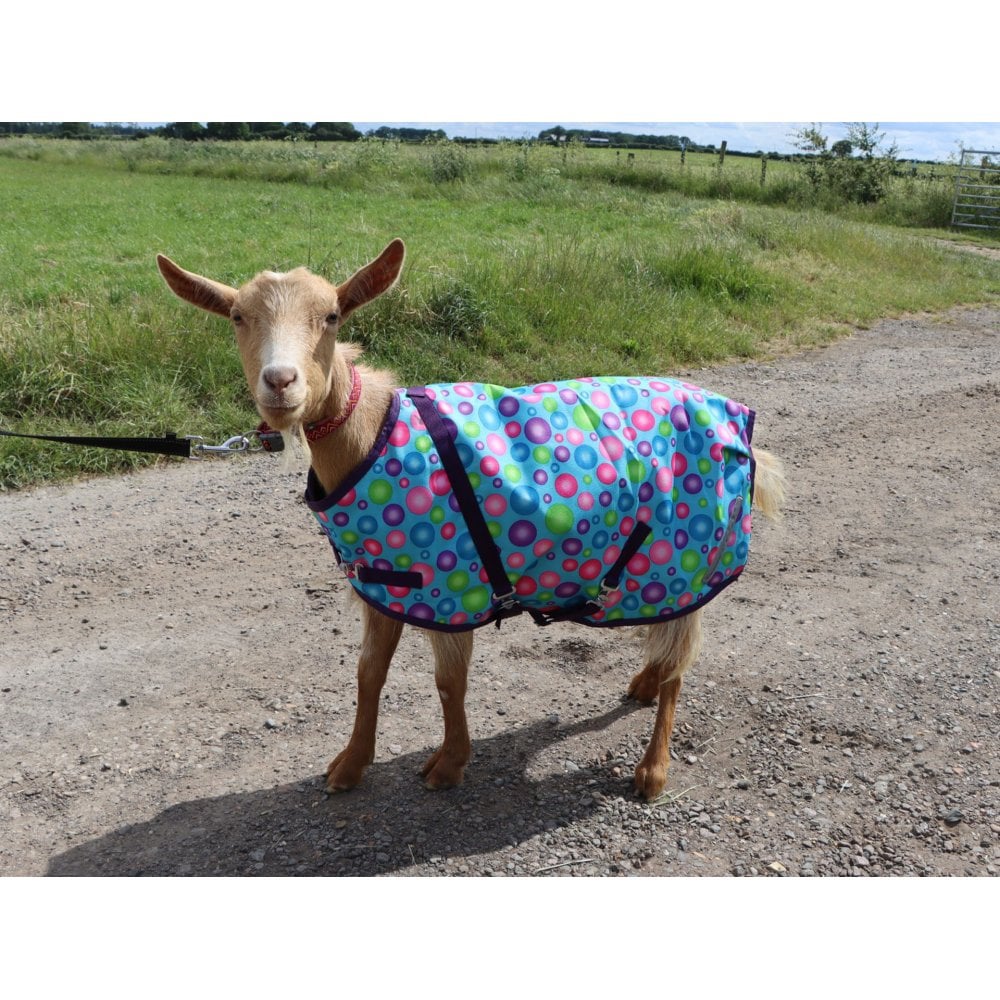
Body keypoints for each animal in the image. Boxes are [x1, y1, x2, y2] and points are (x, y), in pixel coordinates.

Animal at [157, 240, 785, 799]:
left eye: (332, 316)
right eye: (238, 317)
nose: (280, 382)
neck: (372, 434)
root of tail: (738, 421)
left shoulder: (452, 584)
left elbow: (447, 682)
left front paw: (449, 764)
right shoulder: (386, 581)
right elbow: (368, 672)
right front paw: (350, 766)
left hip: (687, 553)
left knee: (679, 662)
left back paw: (652, 770)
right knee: (665, 642)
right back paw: (643, 686)